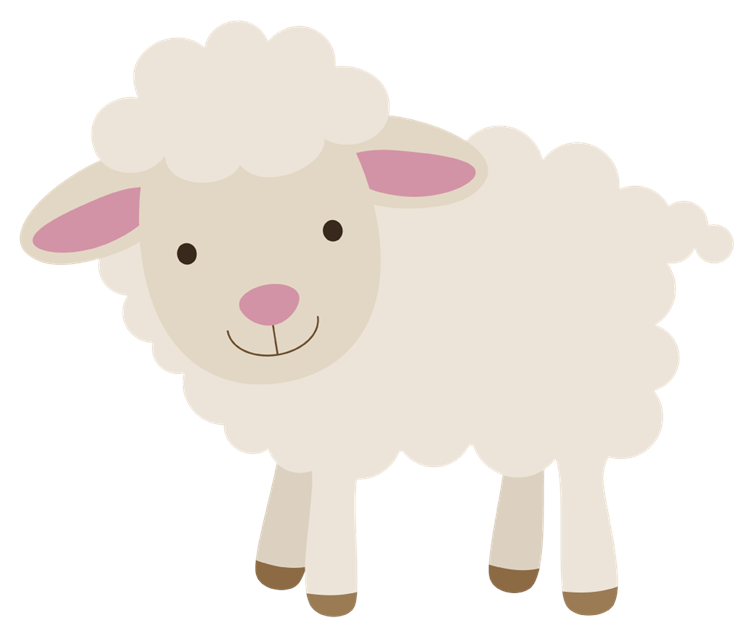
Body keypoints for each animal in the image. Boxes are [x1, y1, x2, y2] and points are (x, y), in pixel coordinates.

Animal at [20, 20, 733, 618]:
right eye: (184, 251)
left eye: (334, 229)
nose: (270, 303)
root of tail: (653, 215)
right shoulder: (303, 421)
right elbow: (291, 482)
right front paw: (277, 569)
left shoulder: (343, 426)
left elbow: (331, 498)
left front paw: (330, 597)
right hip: (522, 392)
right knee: (527, 464)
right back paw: (510, 572)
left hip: (597, 389)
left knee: (583, 476)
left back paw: (587, 593)